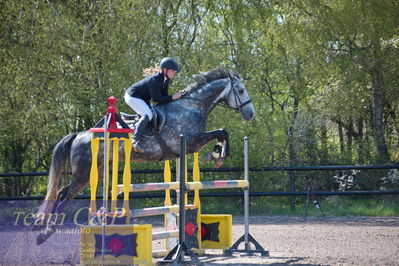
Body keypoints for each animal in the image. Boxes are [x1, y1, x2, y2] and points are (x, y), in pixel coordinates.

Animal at [33, 68, 253, 243]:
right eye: (241, 91)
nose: (250, 114)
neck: (191, 107)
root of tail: (79, 134)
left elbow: (222, 133)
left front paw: (217, 155)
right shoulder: (191, 141)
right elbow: (221, 132)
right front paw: (217, 156)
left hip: (97, 169)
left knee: (63, 192)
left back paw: (45, 227)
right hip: (84, 172)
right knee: (64, 195)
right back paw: (45, 233)